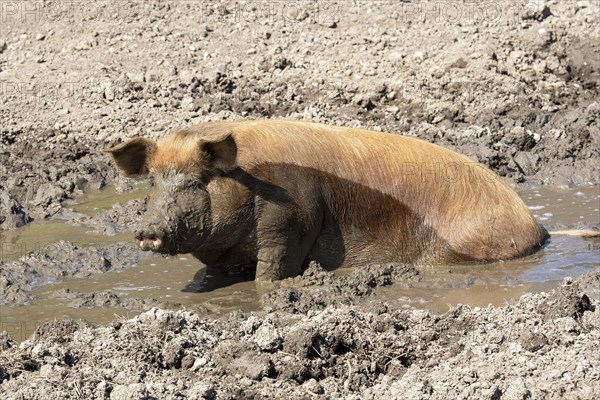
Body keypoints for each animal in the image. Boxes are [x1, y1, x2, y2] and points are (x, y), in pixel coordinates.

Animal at [106, 120, 548, 280]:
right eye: (153, 183)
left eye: (198, 181)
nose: (145, 232)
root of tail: (535, 227)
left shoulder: (291, 221)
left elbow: (272, 273)